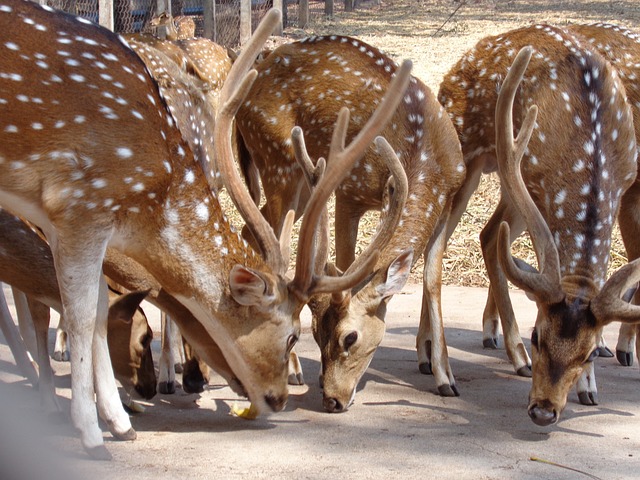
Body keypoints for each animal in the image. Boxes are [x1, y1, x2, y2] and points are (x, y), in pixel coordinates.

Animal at [0, 0, 410, 458]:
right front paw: (94, 429)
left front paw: (118, 420)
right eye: (293, 336)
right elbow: (83, 313)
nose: (279, 400)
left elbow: (90, 307)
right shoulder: (81, 206)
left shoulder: (54, 220)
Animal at [235, 33, 464, 410]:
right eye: (316, 334)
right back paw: (293, 369)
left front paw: (445, 378)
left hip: (298, 182)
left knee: (250, 228)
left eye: (349, 338)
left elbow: (432, 282)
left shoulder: (448, 201)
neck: (424, 156)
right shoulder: (349, 191)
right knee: (272, 240)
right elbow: (345, 263)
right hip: (277, 162)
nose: (332, 400)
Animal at [440, 28, 640, 426]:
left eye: (588, 354)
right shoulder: (537, 188)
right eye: (538, 336)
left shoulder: (626, 184)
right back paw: (444, 370)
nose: (544, 410)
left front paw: (589, 388)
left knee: (489, 234)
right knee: (433, 248)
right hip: (464, 157)